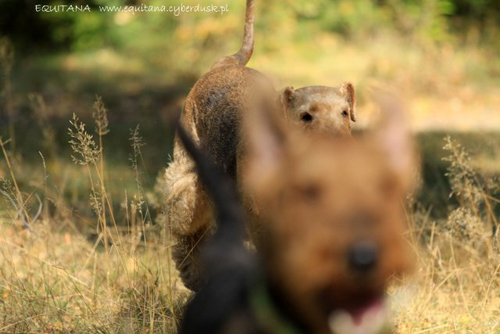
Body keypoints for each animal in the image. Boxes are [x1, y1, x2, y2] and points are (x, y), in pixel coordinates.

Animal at [163, 0, 356, 290]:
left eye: (344, 112)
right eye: (305, 116)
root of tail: (226, 63)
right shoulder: (263, 223)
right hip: (190, 180)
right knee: (188, 227)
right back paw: (195, 275)